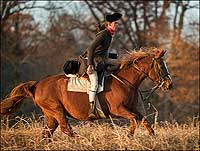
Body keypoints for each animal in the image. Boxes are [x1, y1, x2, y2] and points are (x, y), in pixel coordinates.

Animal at [0, 47, 172, 139]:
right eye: (161, 67)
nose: (170, 84)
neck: (126, 82)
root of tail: (37, 84)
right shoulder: (118, 110)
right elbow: (134, 120)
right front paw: (129, 137)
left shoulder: (132, 108)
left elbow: (144, 121)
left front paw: (153, 138)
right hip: (56, 110)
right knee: (66, 129)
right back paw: (81, 139)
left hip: (51, 115)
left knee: (47, 133)